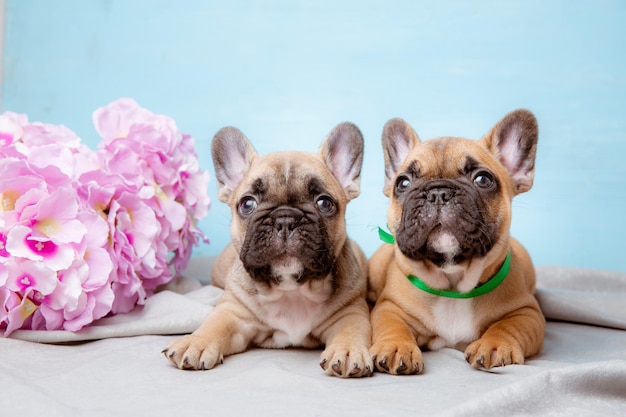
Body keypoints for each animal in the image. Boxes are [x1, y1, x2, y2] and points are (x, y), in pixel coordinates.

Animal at [163, 121, 372, 376]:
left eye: (325, 203)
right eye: (247, 204)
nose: (285, 219)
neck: (291, 290)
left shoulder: (351, 312)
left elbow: (351, 330)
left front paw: (348, 351)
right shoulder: (233, 312)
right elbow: (214, 324)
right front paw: (196, 342)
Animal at [368, 108, 544, 374]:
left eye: (483, 179)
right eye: (403, 183)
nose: (438, 193)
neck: (452, 284)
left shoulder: (527, 312)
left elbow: (508, 326)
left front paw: (493, 345)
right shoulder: (389, 307)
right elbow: (392, 325)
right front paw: (396, 347)